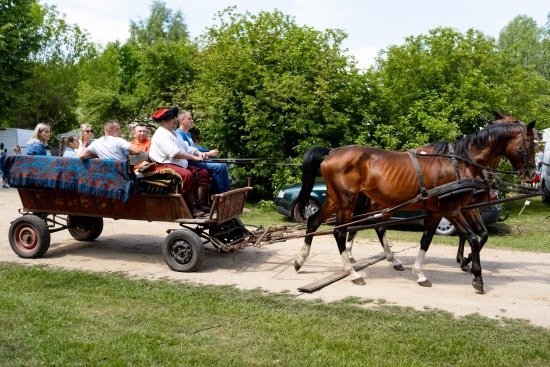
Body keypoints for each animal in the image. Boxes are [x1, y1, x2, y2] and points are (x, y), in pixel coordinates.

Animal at [294, 121, 540, 294]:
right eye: (529, 145)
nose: (531, 173)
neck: (459, 163)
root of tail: (332, 152)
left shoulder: (438, 211)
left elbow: (427, 240)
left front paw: (421, 273)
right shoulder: (452, 210)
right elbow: (471, 238)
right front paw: (477, 277)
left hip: (337, 200)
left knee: (314, 222)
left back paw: (301, 260)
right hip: (347, 202)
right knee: (340, 232)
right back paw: (353, 273)